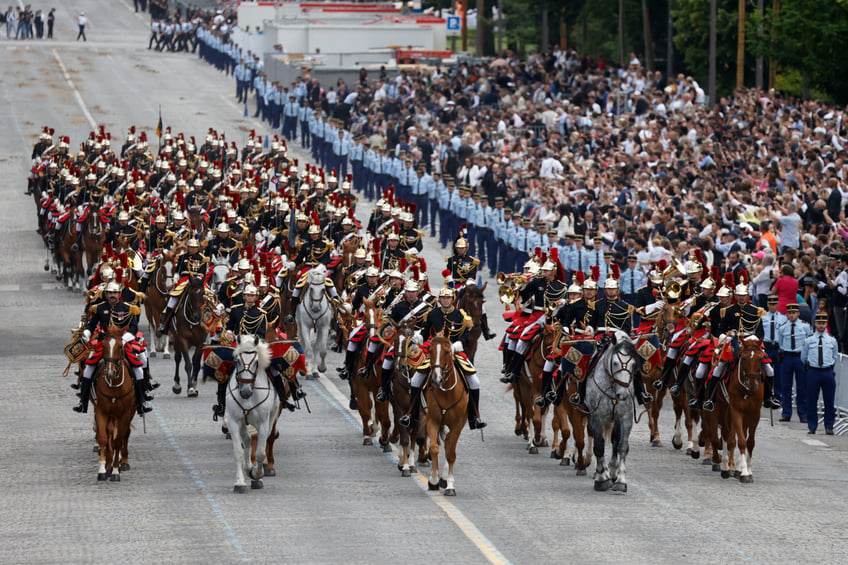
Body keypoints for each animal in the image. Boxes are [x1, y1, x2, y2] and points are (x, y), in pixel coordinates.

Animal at [92, 330, 136, 480]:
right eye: (103, 346)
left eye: (120, 347)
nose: (110, 372)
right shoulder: (101, 411)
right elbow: (103, 438)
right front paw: (102, 470)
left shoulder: (125, 413)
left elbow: (118, 441)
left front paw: (116, 471)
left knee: (124, 434)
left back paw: (123, 462)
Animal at [227, 338, 280, 492]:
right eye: (237, 360)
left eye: (256, 362)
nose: (245, 391)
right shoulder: (233, 421)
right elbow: (238, 451)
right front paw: (239, 482)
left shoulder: (262, 423)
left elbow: (261, 453)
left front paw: (257, 475)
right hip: (243, 422)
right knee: (247, 439)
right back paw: (248, 467)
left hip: (271, 418)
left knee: (264, 439)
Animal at [422, 332, 468, 496]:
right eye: (430, 350)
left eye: (447, 351)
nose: (436, 380)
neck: (447, 393)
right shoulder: (432, 420)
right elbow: (434, 448)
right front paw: (434, 480)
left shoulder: (457, 424)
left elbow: (451, 452)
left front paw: (450, 485)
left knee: (448, 444)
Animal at [588, 328, 640, 492]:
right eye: (615, 362)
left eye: (633, 364)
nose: (622, 395)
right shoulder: (596, 417)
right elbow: (599, 445)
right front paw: (601, 479)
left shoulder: (625, 418)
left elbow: (622, 446)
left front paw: (621, 479)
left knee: (615, 441)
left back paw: (611, 471)